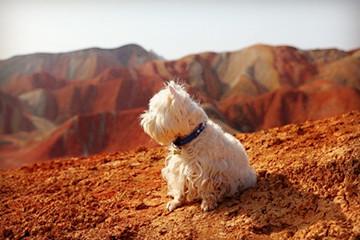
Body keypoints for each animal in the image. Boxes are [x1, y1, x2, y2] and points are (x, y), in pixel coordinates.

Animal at [140, 81, 256, 212]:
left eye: (154, 110)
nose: (143, 122)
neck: (192, 137)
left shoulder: (207, 171)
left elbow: (206, 187)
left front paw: (208, 203)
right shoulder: (179, 170)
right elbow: (180, 188)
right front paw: (175, 202)